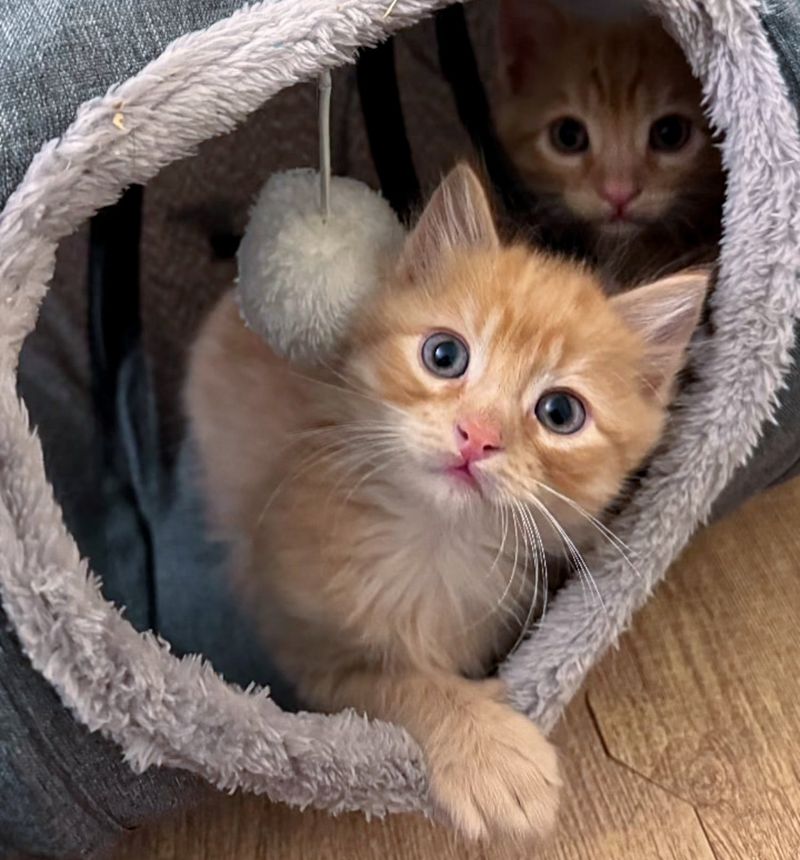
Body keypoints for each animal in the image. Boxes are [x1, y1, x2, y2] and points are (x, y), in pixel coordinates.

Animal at [186, 163, 708, 840]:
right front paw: (489, 751)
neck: (433, 542)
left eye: (559, 413)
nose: (477, 435)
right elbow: (395, 684)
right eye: (444, 355)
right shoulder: (301, 640)